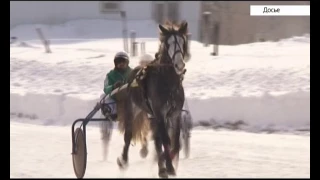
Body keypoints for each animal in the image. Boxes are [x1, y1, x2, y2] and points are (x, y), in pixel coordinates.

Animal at [115, 20, 189, 178]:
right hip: (133, 109)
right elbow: (166, 140)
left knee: (157, 139)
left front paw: (166, 162)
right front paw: (169, 166)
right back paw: (123, 161)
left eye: (182, 41)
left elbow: (175, 142)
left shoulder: (175, 114)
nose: (179, 65)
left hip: (153, 116)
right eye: (168, 43)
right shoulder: (160, 113)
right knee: (128, 135)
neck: (168, 83)